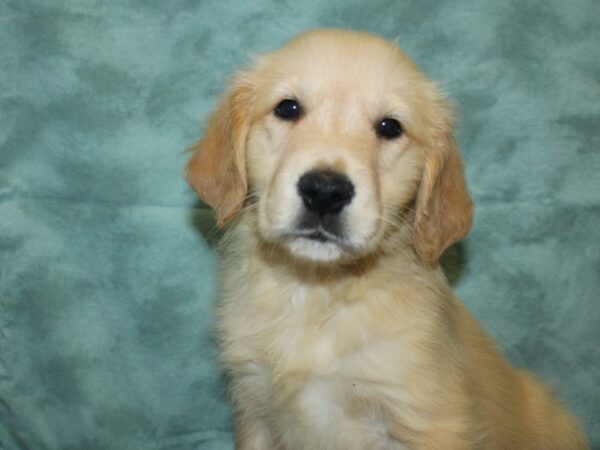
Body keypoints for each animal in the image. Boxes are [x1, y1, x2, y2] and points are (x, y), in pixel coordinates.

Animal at [186, 29, 584, 450]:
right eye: (288, 108)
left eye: (390, 127)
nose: (325, 191)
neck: (317, 292)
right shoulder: (256, 409)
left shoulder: (426, 420)